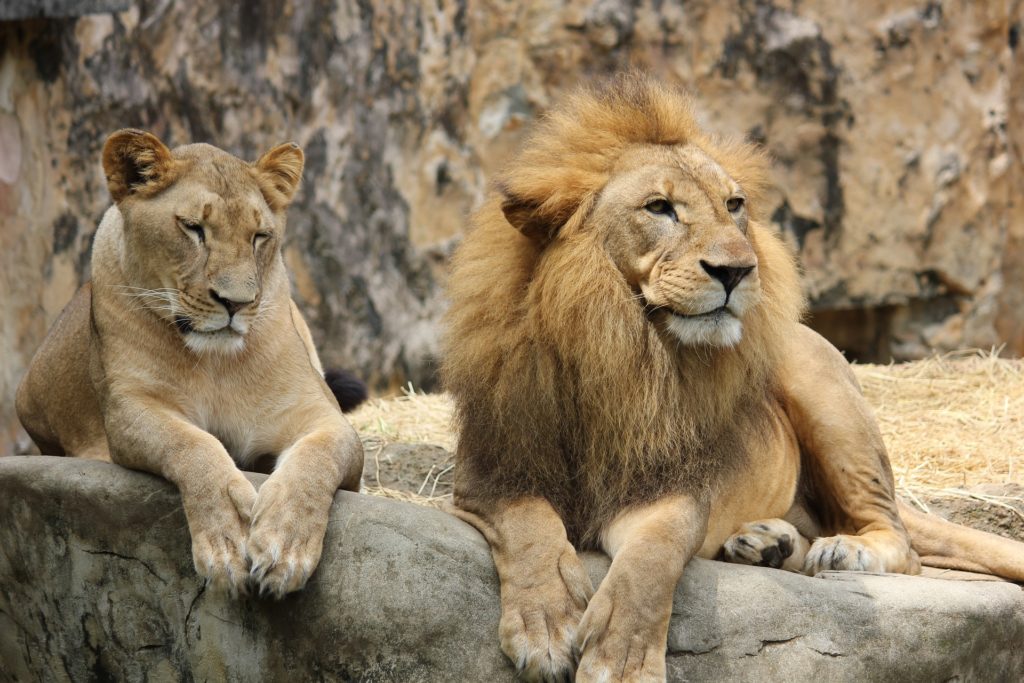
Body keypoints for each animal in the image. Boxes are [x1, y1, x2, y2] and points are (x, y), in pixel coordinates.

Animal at [16, 129, 364, 598]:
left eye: (260, 236)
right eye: (194, 228)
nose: (236, 303)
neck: (216, 363)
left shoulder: (321, 415)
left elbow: (318, 458)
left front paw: (286, 545)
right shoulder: (129, 409)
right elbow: (192, 443)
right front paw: (228, 536)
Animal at [444, 76, 1024, 683]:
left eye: (733, 205)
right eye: (659, 207)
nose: (738, 270)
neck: (621, 350)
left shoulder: (672, 489)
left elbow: (647, 567)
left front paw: (621, 661)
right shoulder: (493, 473)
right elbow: (531, 527)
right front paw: (547, 626)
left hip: (822, 389)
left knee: (900, 540)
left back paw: (843, 550)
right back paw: (767, 543)